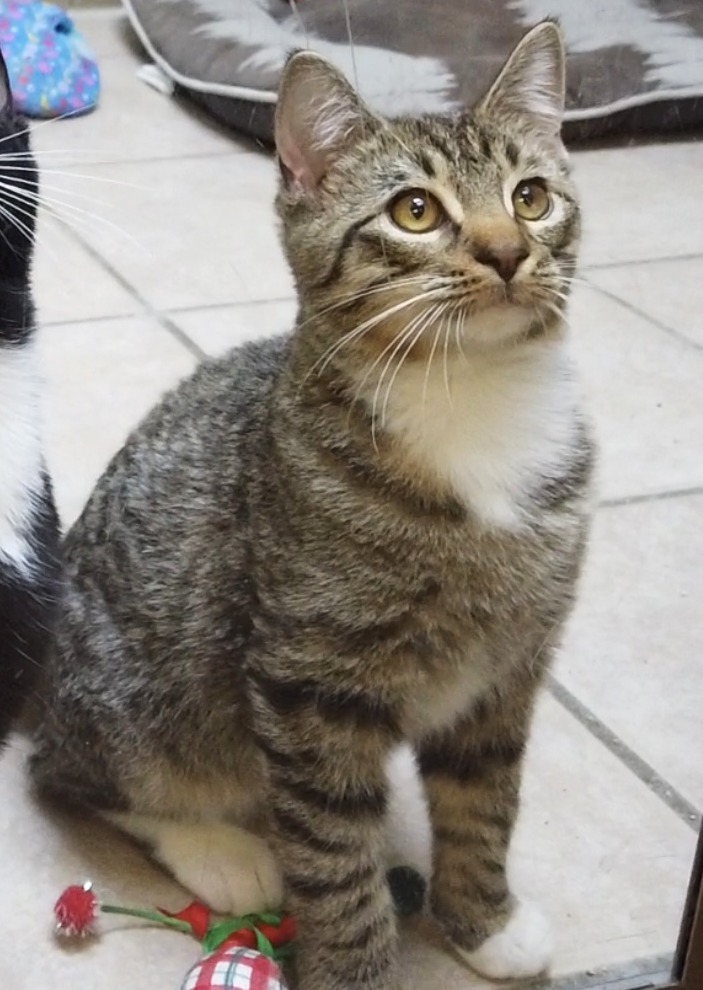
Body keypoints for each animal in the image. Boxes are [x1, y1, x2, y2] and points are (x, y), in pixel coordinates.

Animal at [31, 23, 592, 990]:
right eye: (414, 211)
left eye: (530, 197)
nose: (506, 252)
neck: (472, 398)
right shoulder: (310, 686)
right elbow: (333, 854)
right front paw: (353, 965)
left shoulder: (508, 666)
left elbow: (483, 798)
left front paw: (483, 920)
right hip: (137, 698)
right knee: (81, 776)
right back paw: (218, 849)